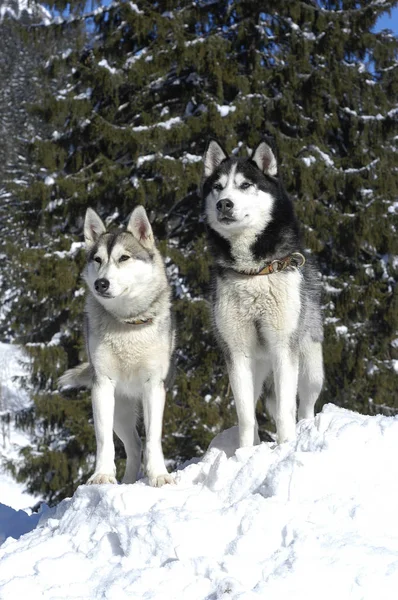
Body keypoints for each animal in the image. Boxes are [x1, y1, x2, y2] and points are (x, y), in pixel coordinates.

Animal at [59, 206, 176, 488]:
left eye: (124, 258)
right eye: (98, 259)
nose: (101, 283)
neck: (127, 323)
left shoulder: (154, 386)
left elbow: (153, 438)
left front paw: (159, 475)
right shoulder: (102, 385)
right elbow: (104, 441)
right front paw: (102, 476)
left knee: (140, 444)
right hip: (120, 413)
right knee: (133, 446)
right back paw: (127, 481)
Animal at [202, 137, 324, 446]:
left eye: (245, 185)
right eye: (218, 186)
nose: (224, 203)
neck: (253, 272)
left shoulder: (283, 348)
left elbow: (284, 409)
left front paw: (286, 446)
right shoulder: (236, 353)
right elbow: (246, 416)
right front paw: (245, 453)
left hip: (310, 364)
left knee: (305, 405)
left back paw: (306, 430)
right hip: (257, 370)